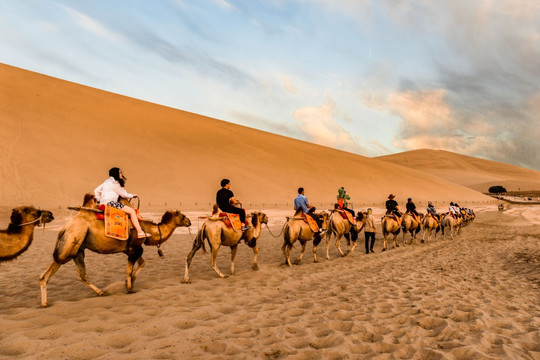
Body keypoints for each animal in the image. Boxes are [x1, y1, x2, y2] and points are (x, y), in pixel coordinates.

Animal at [38, 194, 190, 306]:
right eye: (182, 216)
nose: (189, 221)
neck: (148, 229)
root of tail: (64, 228)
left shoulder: (130, 249)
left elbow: (142, 263)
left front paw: (129, 282)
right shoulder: (135, 248)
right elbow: (130, 269)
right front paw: (129, 288)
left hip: (78, 249)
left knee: (81, 275)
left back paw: (100, 292)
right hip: (71, 243)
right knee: (55, 266)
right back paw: (45, 303)